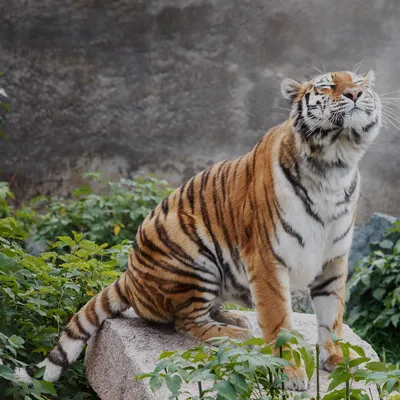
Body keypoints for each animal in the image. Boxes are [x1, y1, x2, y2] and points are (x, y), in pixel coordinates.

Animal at [15, 69, 382, 390]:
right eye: (327, 85)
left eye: (358, 80)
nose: (355, 93)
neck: (333, 165)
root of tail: (128, 277)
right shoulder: (266, 260)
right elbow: (279, 323)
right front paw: (289, 373)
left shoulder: (333, 259)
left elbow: (332, 316)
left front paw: (338, 361)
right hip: (193, 256)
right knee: (187, 321)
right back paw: (237, 334)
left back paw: (236, 320)